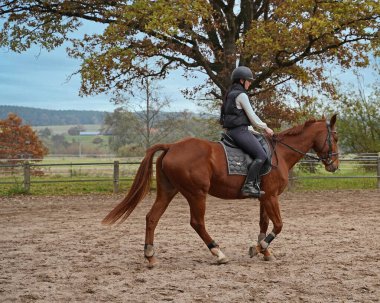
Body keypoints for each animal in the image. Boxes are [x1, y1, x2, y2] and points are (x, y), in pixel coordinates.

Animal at [101, 114, 338, 268]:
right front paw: (258, 248)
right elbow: (278, 225)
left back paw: (150, 256)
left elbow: (264, 224)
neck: (280, 153)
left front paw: (265, 252)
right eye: (334, 137)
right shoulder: (271, 197)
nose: (334, 165)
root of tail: (172, 146)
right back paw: (218, 253)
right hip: (196, 193)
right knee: (197, 223)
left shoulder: (264, 197)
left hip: (168, 191)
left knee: (152, 218)